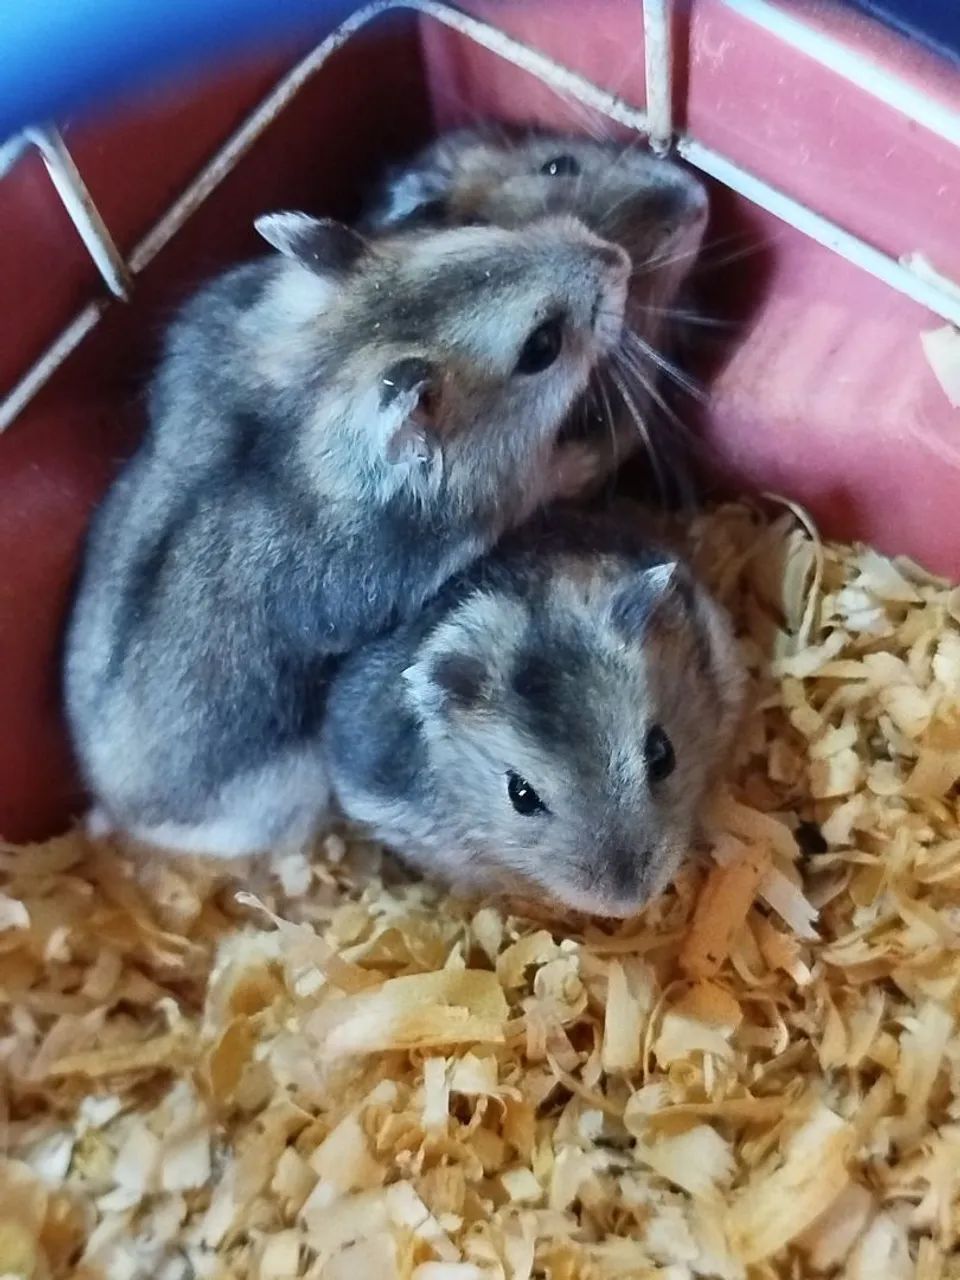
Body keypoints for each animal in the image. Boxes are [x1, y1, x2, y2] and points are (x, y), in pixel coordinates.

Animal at [64, 210, 630, 861]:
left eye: (479, 236)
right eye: (542, 345)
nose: (619, 258)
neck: (331, 371)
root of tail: (111, 810)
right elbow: (545, 478)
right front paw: (597, 452)